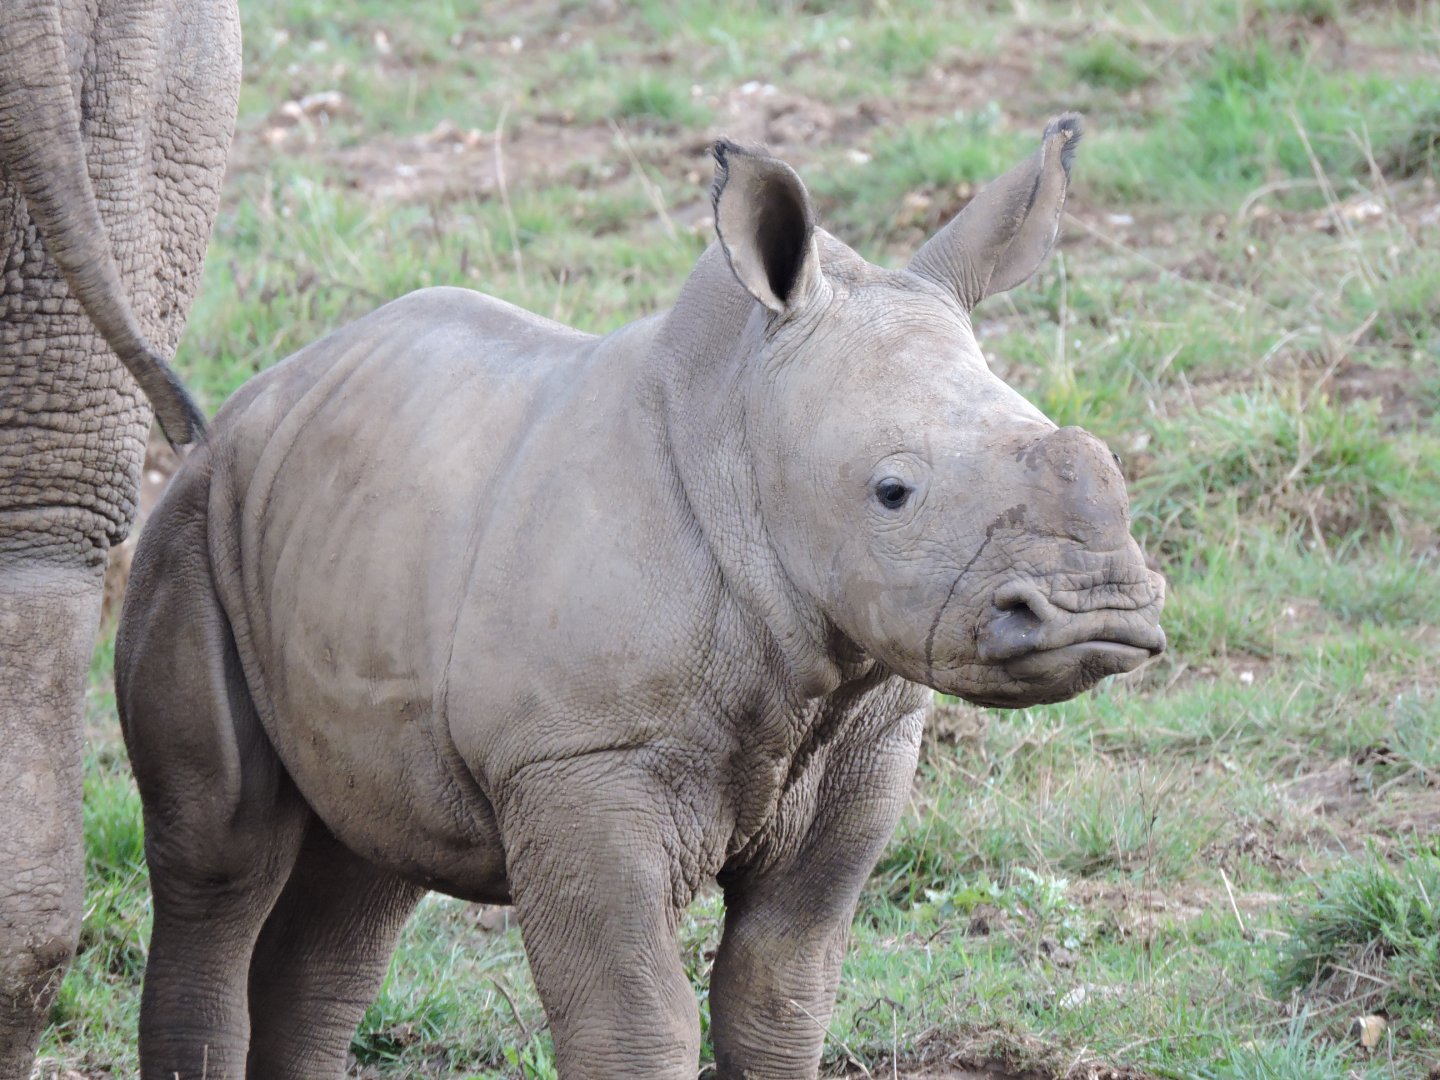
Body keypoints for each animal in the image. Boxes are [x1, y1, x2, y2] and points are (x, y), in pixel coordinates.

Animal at [116, 114, 1164, 1080]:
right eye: (893, 491)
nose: (1103, 609)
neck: (742, 431)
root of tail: (249, 402)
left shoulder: (864, 738)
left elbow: (782, 996)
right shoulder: (580, 756)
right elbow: (635, 1018)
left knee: (364, 877)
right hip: (197, 522)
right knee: (224, 858)